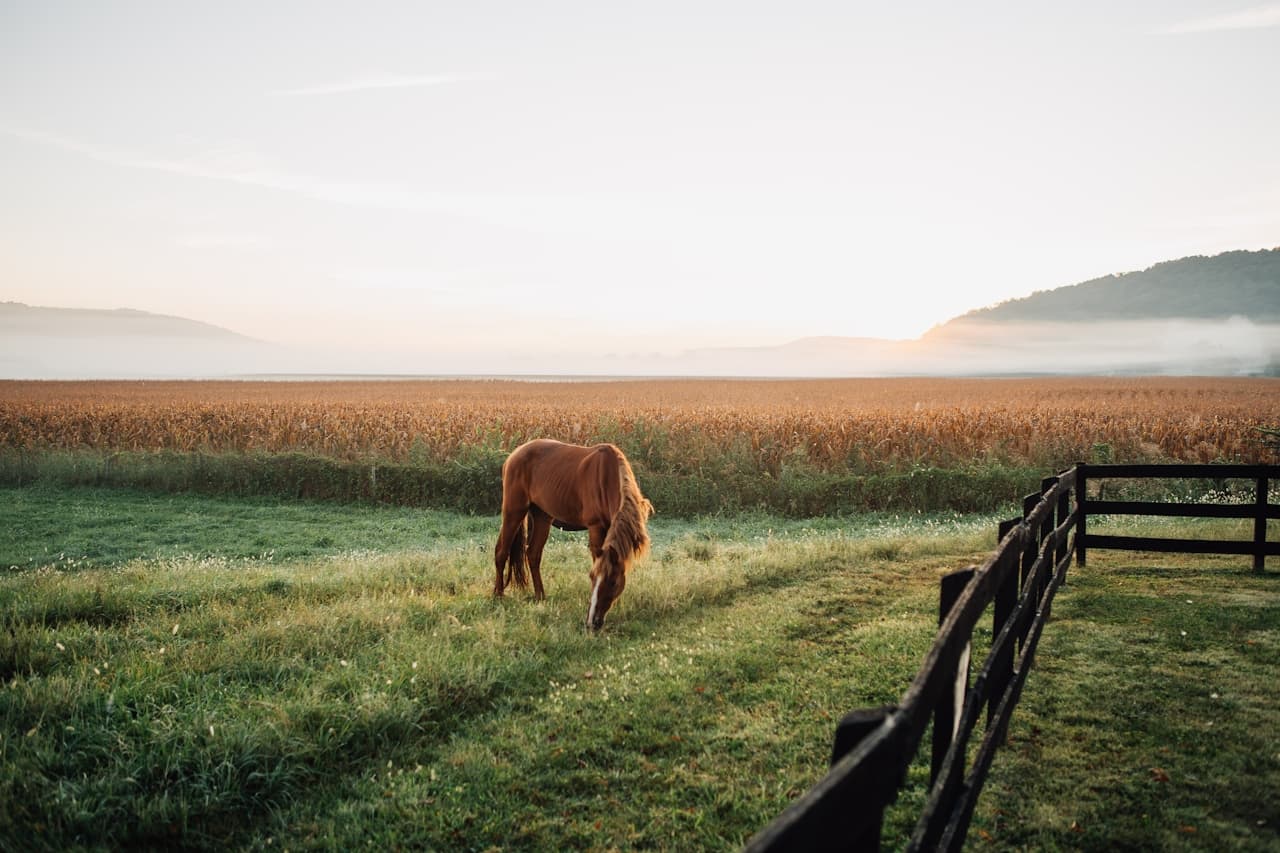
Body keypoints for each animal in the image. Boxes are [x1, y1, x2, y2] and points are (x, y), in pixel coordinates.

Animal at [493, 439, 653, 631]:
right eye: (592, 577)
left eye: (613, 582)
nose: (593, 623)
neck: (608, 477)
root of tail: (513, 456)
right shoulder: (595, 526)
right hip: (514, 511)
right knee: (501, 552)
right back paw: (498, 595)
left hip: (542, 516)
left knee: (533, 554)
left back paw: (540, 597)